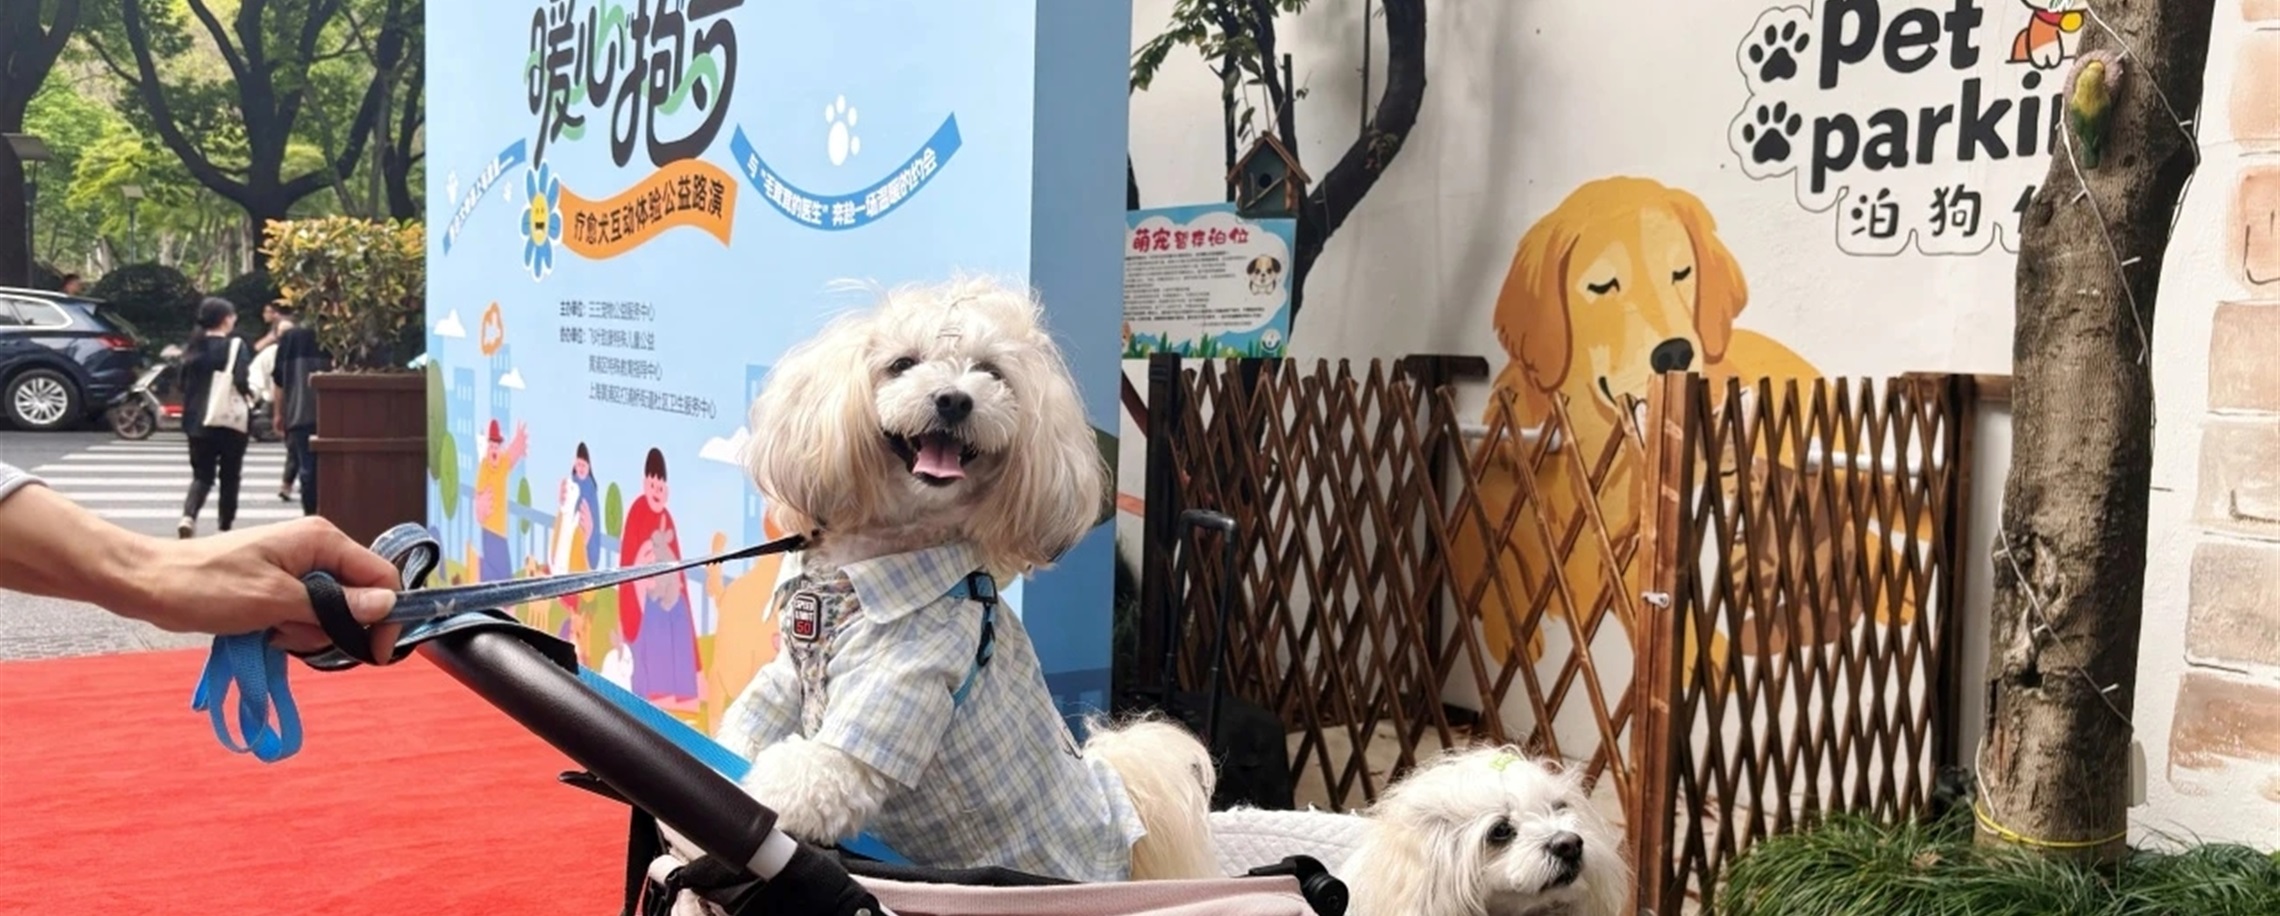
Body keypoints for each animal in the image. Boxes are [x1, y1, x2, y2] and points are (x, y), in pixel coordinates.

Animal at [716, 274, 1221, 884]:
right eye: (902, 364)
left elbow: (815, 775)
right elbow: (749, 720)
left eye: (991, 372)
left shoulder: (903, 685)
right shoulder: (786, 676)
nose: (955, 399)